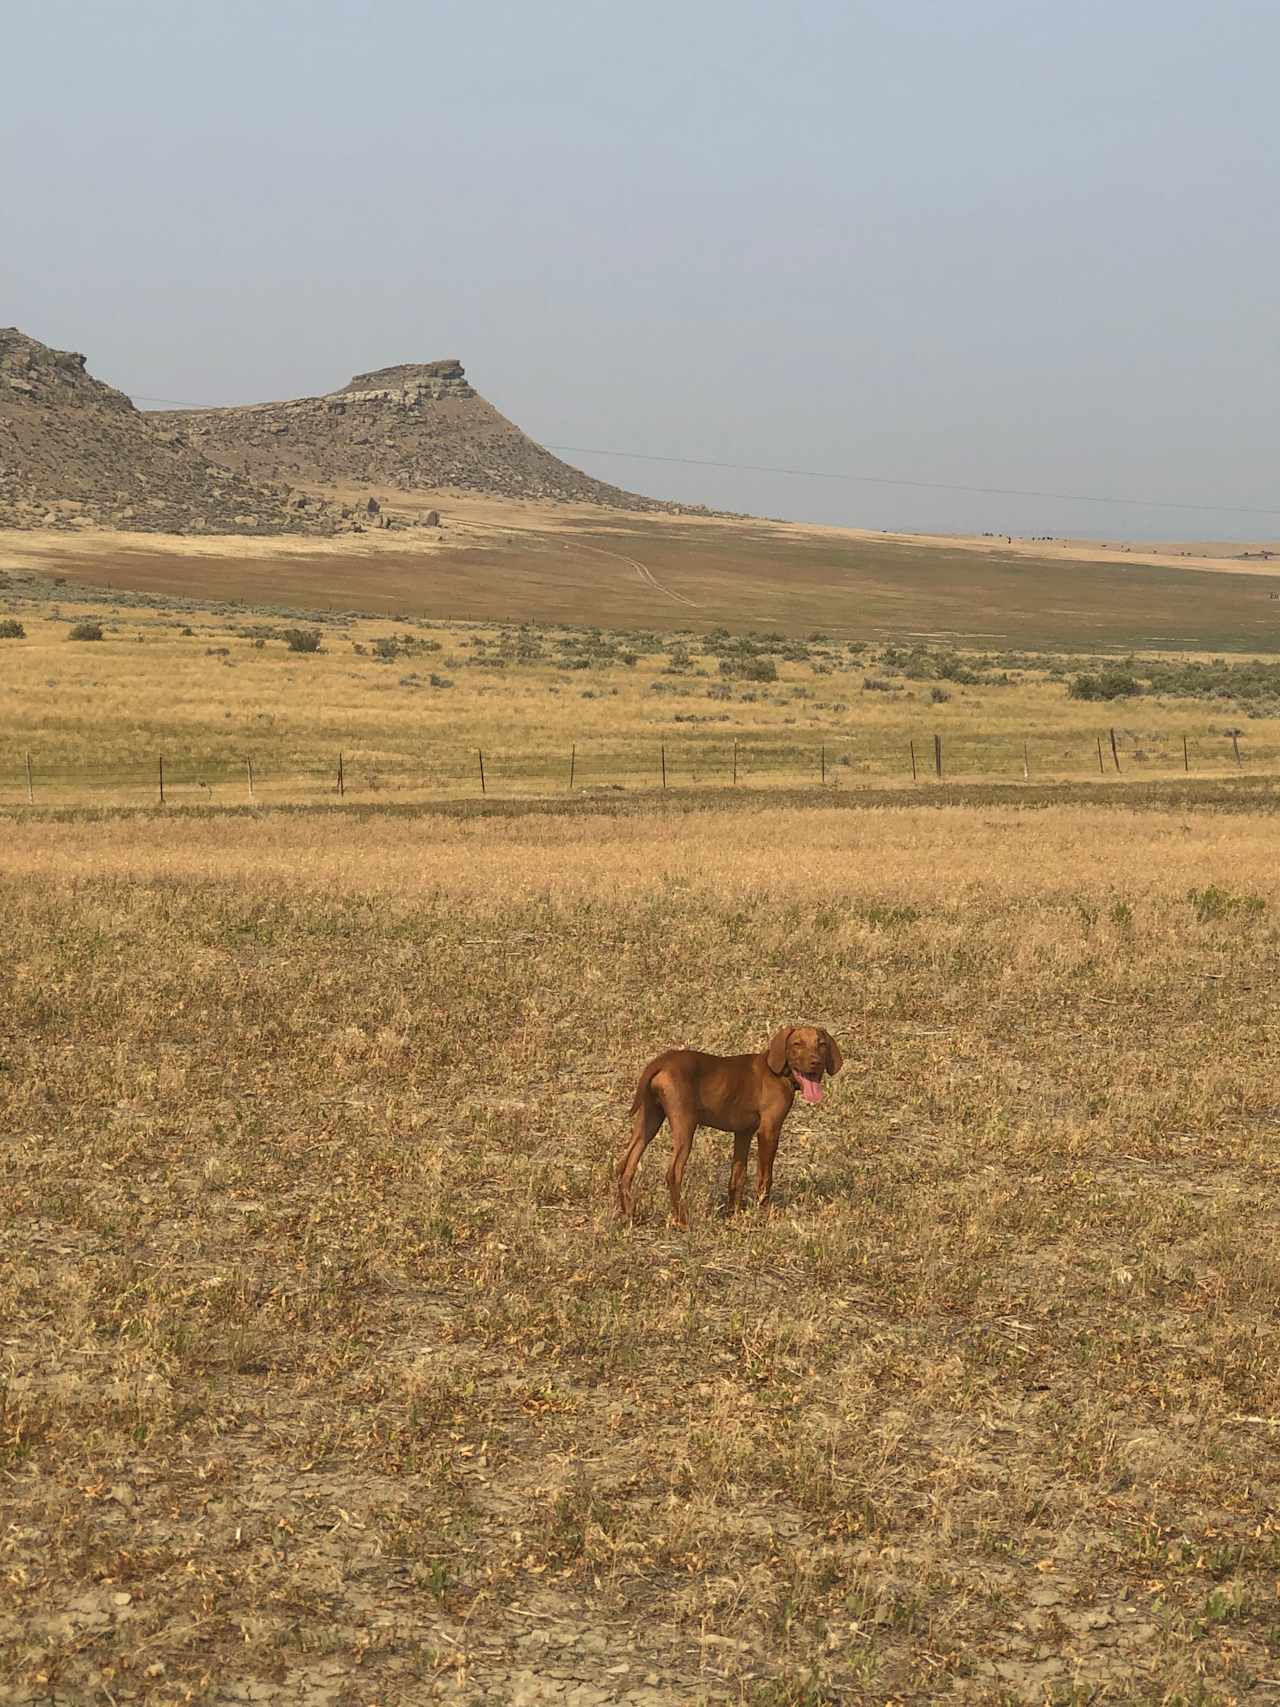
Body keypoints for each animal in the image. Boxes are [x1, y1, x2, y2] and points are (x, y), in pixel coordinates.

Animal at [617, 1024, 846, 1229]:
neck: (779, 1073)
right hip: (684, 1124)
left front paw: (733, 1213)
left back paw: (629, 1214)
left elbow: (737, 1176)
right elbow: (765, 1177)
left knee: (625, 1165)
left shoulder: (743, 1133)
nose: (816, 1063)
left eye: (822, 1044)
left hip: (649, 1119)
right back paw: (682, 1221)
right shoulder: (769, 1131)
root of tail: (661, 1061)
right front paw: (764, 1212)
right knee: (673, 1173)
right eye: (797, 1044)